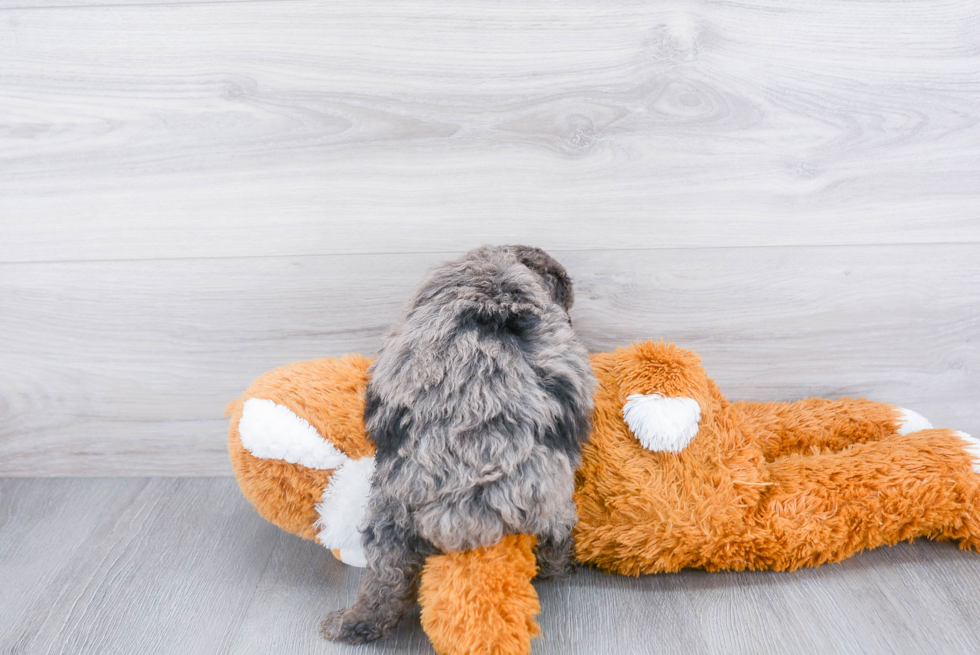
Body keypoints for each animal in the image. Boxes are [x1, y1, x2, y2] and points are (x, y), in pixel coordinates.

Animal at [322, 243, 596, 644]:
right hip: (549, 500)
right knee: (554, 538)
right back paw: (559, 565)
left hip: (389, 509)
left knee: (387, 575)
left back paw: (360, 619)